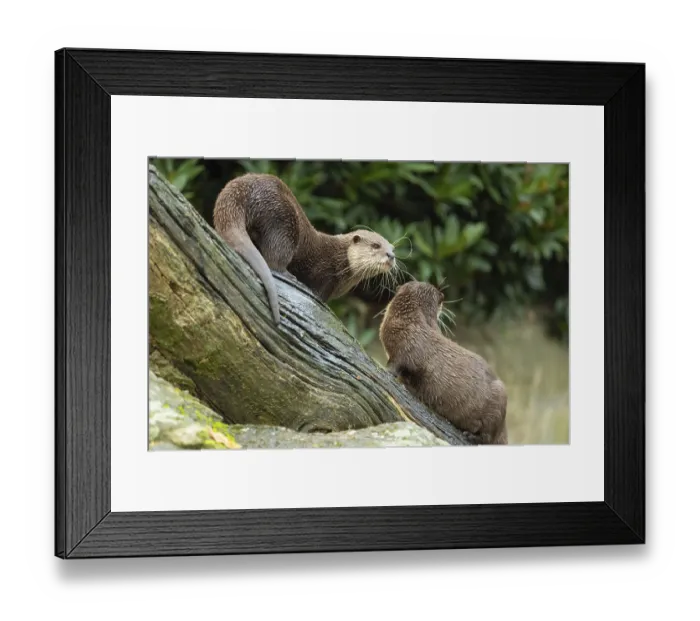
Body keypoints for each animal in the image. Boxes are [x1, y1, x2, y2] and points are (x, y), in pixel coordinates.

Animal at [213, 173, 396, 324]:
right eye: (376, 245)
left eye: (393, 248)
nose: (391, 255)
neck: (340, 260)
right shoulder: (325, 275)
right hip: (282, 221)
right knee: (273, 260)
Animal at [379, 281, 508, 445]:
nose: (443, 298)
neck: (408, 323)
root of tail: (504, 427)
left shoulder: (406, 348)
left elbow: (398, 364)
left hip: (498, 401)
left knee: (488, 436)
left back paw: (471, 435)